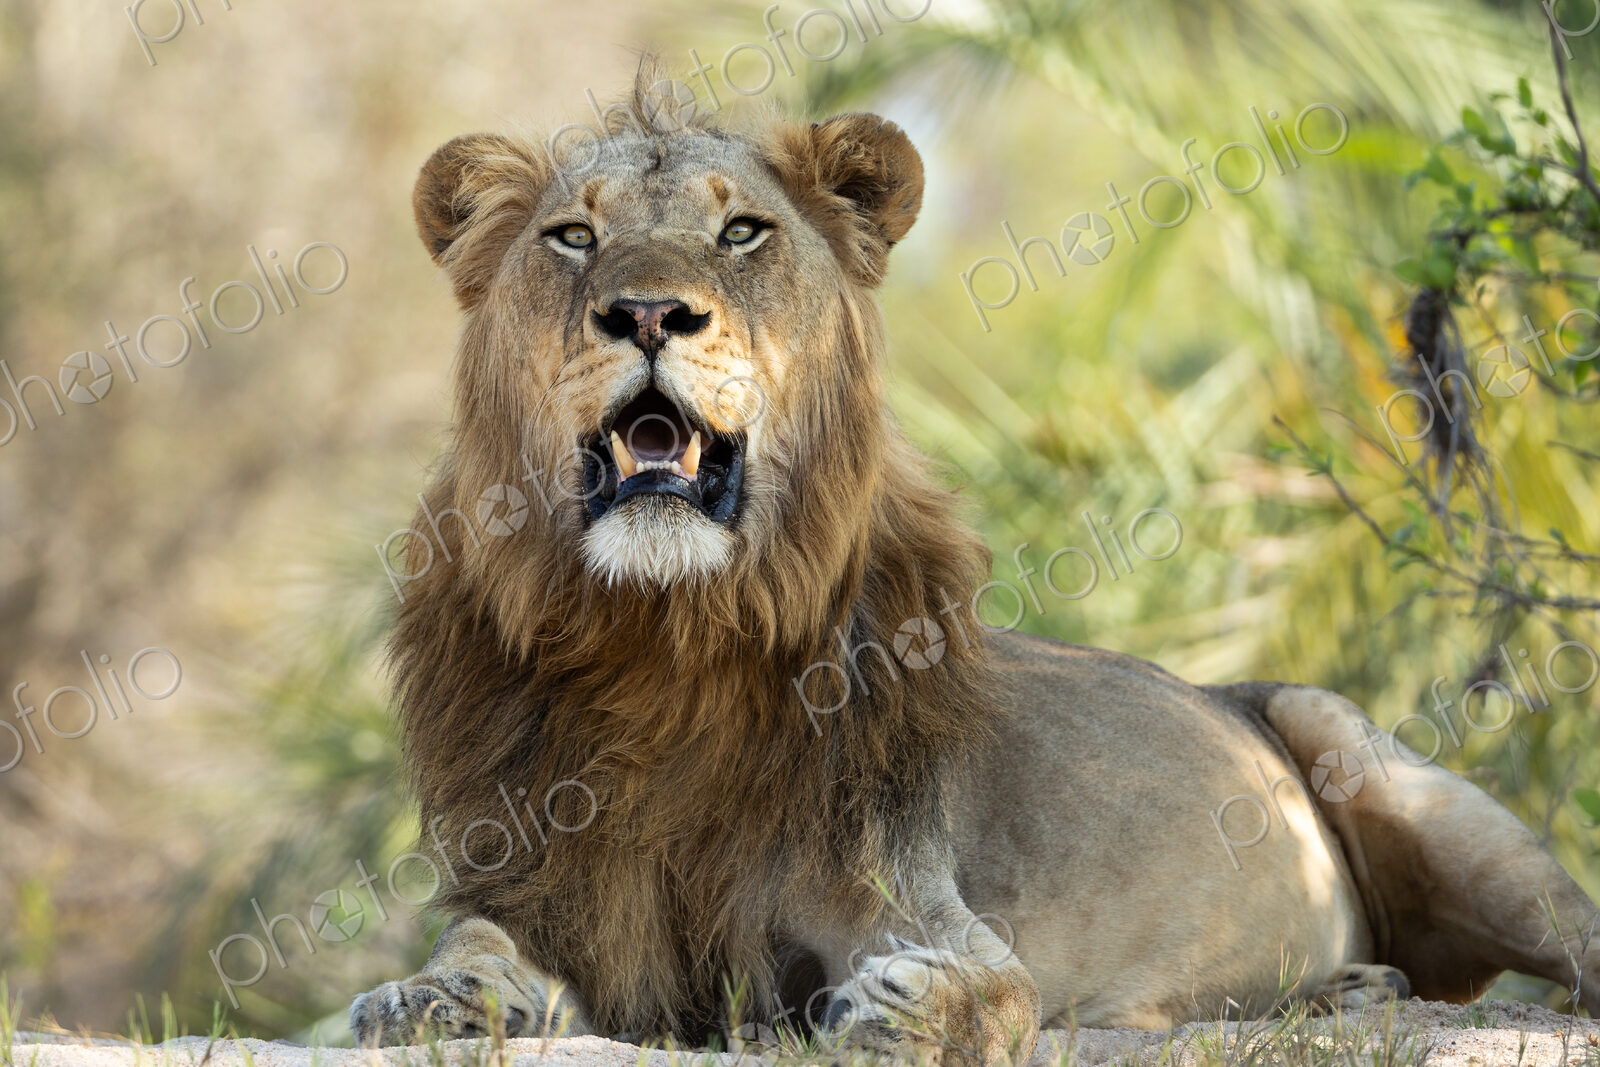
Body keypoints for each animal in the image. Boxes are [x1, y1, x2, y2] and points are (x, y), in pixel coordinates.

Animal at [350, 76, 1600, 1062]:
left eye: (742, 232)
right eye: (572, 236)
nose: (649, 310)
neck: (667, 636)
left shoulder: (914, 890)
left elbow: (997, 988)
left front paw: (899, 1009)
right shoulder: (550, 888)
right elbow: (472, 937)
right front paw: (426, 994)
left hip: (1399, 776)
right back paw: (1346, 987)